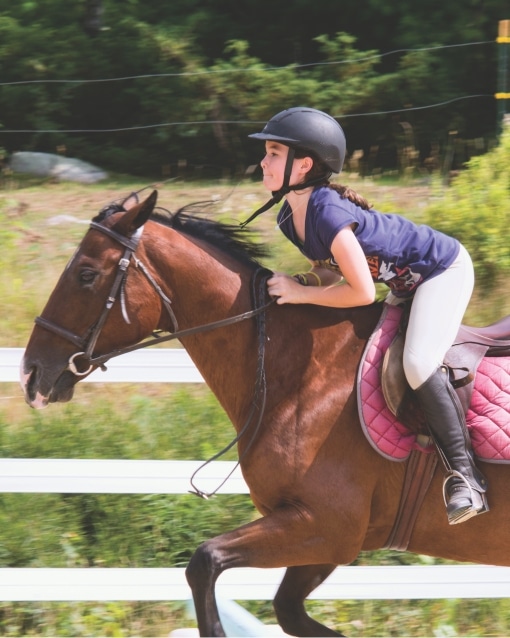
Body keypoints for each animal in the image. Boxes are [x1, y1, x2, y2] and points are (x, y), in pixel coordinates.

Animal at [19, 192, 510, 636]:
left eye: (86, 274)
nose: (31, 373)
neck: (296, 369)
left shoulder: (326, 524)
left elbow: (205, 562)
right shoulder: (322, 536)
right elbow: (286, 610)